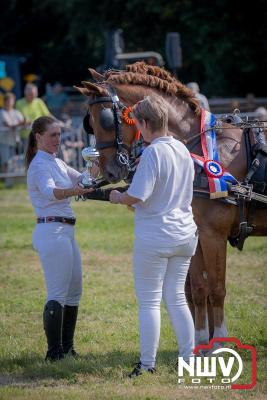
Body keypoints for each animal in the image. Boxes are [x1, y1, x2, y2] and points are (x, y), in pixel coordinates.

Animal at [76, 62, 267, 346]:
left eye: (104, 119)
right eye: (90, 122)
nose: (109, 171)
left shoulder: (214, 234)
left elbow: (217, 288)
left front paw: (220, 341)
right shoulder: (197, 233)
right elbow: (199, 288)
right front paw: (200, 341)